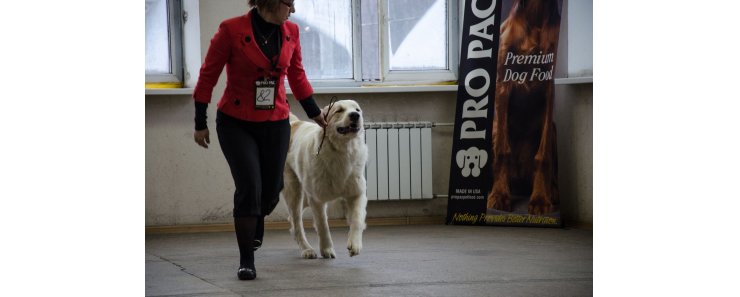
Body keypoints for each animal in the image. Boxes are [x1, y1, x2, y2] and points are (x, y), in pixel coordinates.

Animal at [282, 99, 368, 256]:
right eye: (339, 110)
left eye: (357, 110)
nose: (355, 115)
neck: (341, 151)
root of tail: (294, 123)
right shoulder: (317, 199)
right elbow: (322, 225)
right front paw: (327, 249)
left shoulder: (357, 193)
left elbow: (357, 219)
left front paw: (355, 244)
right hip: (294, 193)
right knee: (297, 223)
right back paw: (307, 249)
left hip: (304, 197)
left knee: (292, 219)